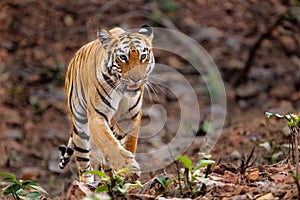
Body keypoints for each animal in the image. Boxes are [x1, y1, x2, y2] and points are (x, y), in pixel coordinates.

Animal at [58, 24, 155, 183]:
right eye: (123, 57)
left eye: (143, 56)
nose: (136, 79)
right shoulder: (96, 116)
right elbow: (109, 144)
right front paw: (129, 170)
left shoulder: (130, 116)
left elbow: (129, 144)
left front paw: (129, 177)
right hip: (80, 126)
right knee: (84, 165)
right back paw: (87, 184)